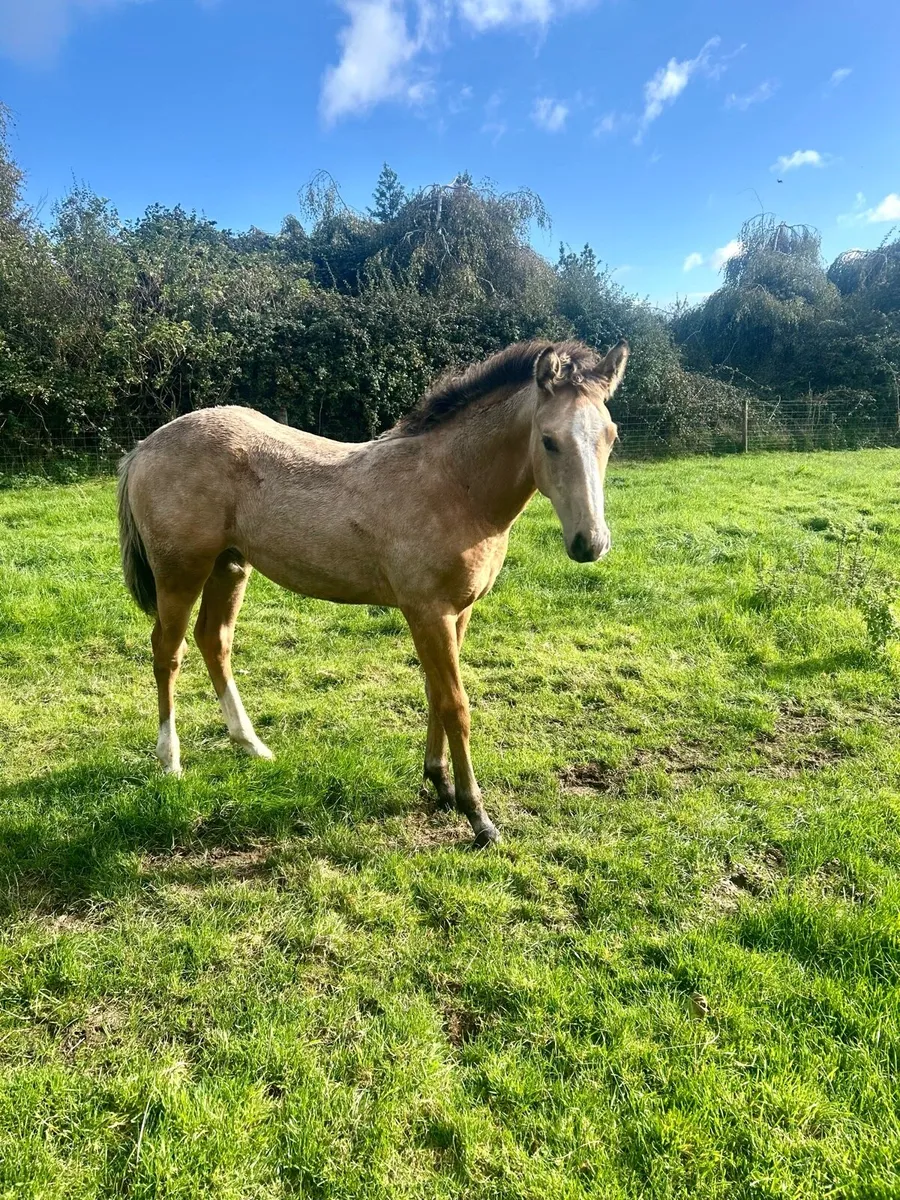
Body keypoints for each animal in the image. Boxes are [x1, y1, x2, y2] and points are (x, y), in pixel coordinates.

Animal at [117, 338, 629, 847]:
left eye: (611, 436)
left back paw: (252, 745)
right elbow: (455, 705)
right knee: (167, 650)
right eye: (549, 439)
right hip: (180, 573)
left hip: (230, 566)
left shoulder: (457, 612)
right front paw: (477, 816)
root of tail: (144, 447)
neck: (454, 486)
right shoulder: (428, 612)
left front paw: (440, 783)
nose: (591, 543)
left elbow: (435, 694)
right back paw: (170, 761)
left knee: (214, 641)